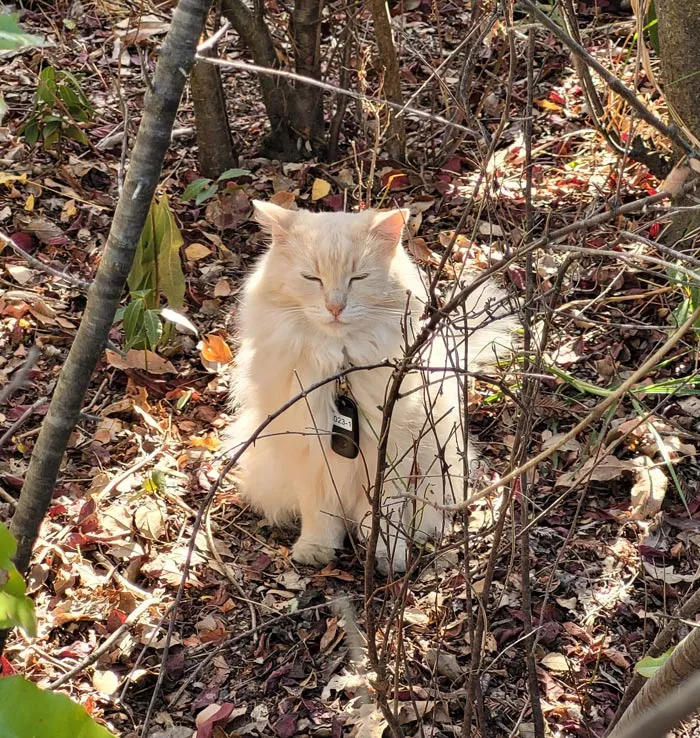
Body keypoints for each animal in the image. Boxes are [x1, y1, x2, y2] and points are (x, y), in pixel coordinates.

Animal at [227, 203, 516, 576]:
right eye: (312, 278)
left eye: (358, 278)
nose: (335, 307)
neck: (341, 367)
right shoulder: (309, 454)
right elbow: (319, 512)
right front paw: (316, 549)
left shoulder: (392, 451)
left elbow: (384, 514)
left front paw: (386, 556)